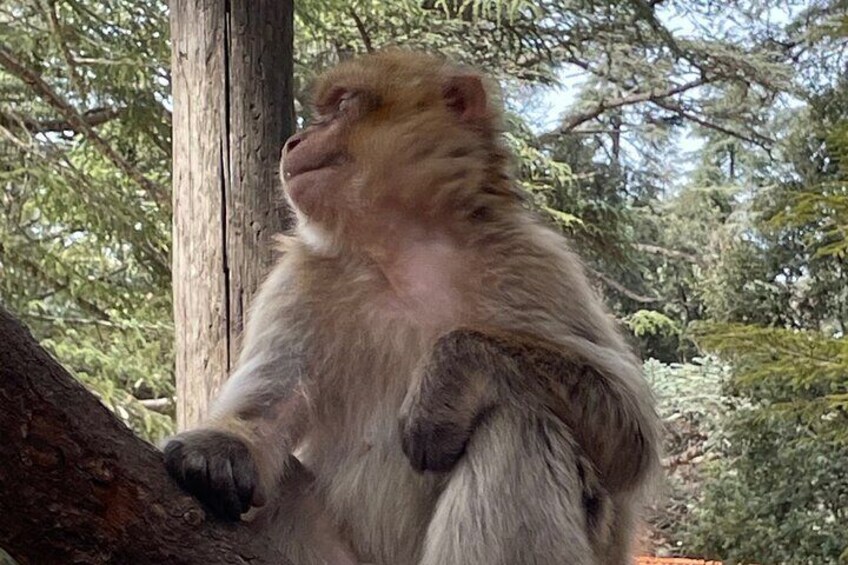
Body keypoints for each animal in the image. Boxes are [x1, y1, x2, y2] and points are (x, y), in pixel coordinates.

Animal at [163, 49, 660, 565]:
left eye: (341, 106)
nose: (294, 142)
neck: (406, 251)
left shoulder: (535, 261)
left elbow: (630, 430)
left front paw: (448, 375)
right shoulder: (301, 279)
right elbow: (267, 412)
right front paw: (220, 447)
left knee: (518, 424)